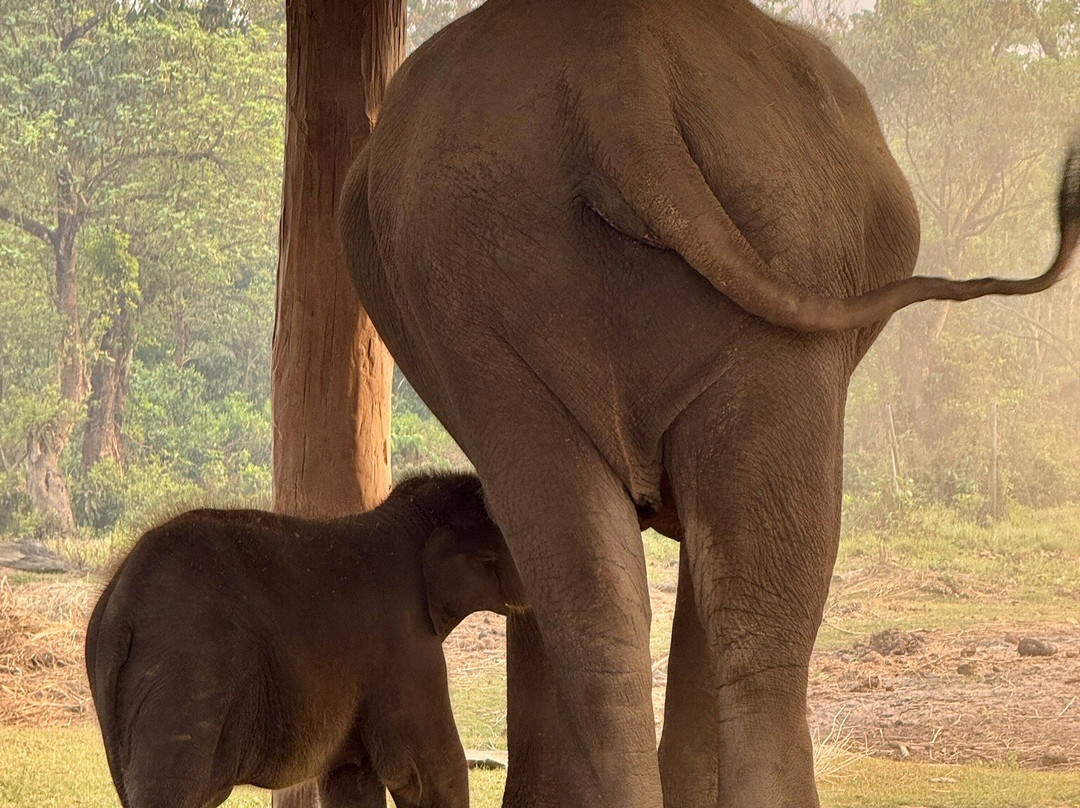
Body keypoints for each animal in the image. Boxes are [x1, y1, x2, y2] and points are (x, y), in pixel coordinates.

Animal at [85, 472, 523, 808]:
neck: (409, 515)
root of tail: (120, 603)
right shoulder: (406, 645)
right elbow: (430, 773)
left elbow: (351, 778)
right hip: (185, 672)